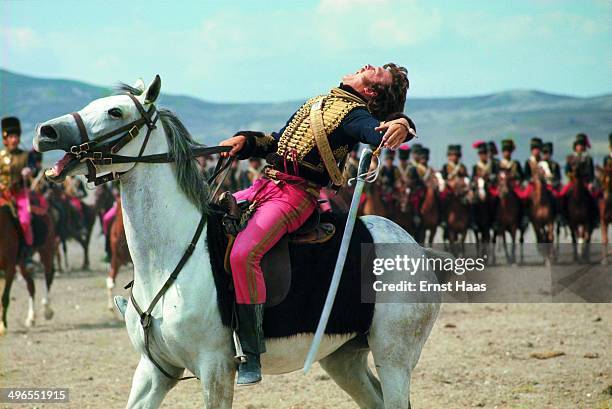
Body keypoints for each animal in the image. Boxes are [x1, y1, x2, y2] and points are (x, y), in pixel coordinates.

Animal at [34, 76, 440, 408]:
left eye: (115, 111)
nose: (45, 131)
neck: (169, 257)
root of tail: (416, 249)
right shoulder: (153, 373)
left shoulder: (215, 370)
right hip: (343, 357)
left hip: (394, 359)